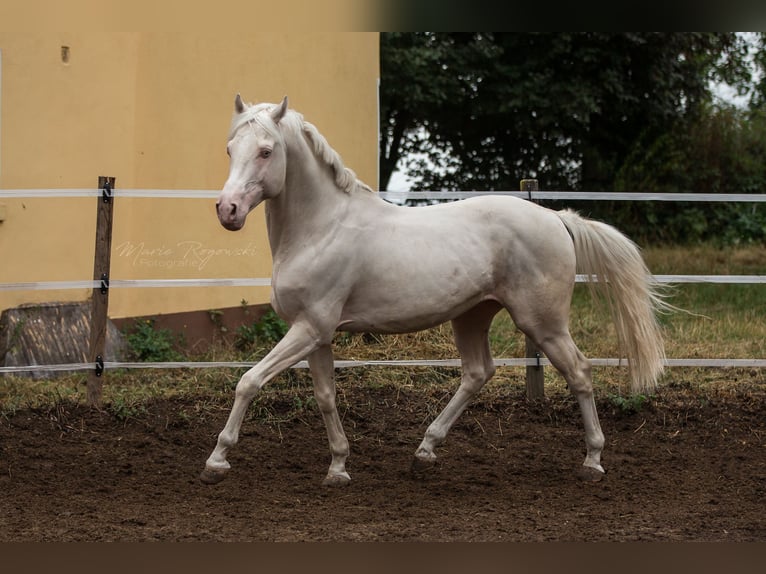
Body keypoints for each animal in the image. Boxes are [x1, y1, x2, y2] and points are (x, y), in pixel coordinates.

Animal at [200, 94, 668, 486]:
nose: (227, 210)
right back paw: (424, 452)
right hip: (473, 316)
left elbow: (249, 381)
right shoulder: (316, 334)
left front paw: (216, 461)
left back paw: (592, 461)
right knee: (478, 373)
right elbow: (325, 397)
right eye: (229, 150)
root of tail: (556, 218)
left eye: (266, 151)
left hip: (544, 323)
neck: (321, 228)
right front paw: (338, 467)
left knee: (580, 373)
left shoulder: (309, 328)